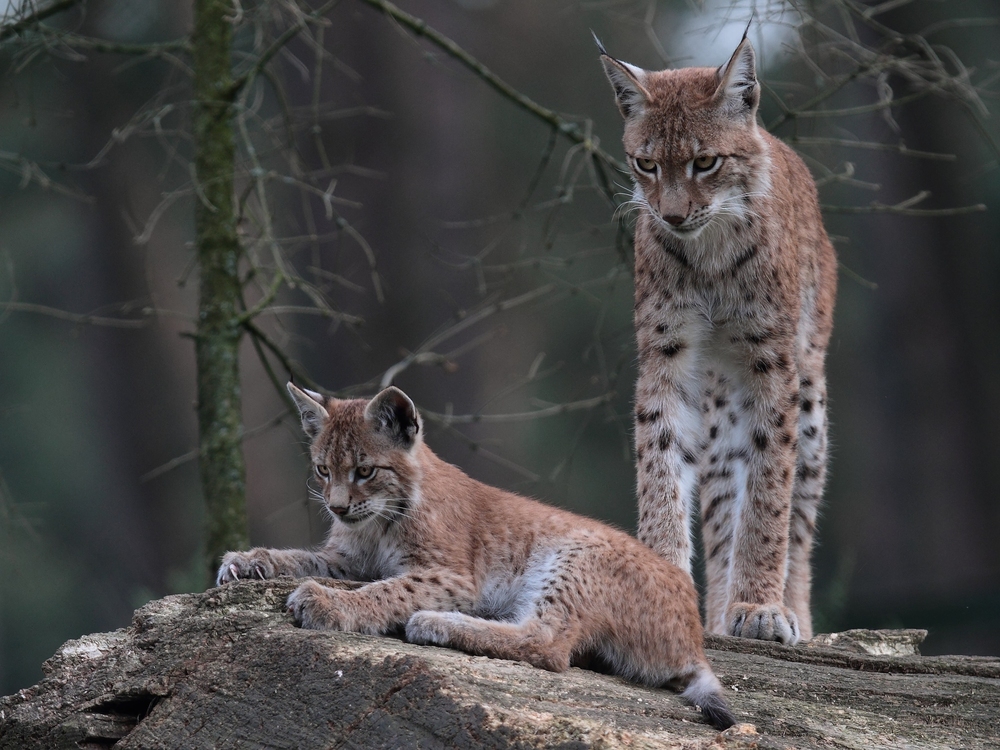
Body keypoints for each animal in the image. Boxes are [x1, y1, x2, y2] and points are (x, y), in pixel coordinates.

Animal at [217, 384, 736, 732]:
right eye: (323, 470)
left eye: (365, 471)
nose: (337, 508)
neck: (380, 519)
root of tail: (694, 633)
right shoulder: (346, 557)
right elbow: (301, 557)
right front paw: (246, 560)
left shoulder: (450, 576)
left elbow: (386, 590)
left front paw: (327, 602)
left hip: (574, 554)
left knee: (547, 645)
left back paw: (437, 622)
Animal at [596, 33, 840, 648]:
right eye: (646, 164)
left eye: (705, 162)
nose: (672, 216)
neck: (708, 249)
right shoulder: (667, 354)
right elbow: (659, 463)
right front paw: (660, 585)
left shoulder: (772, 364)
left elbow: (771, 491)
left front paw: (760, 606)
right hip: (719, 403)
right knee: (721, 494)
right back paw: (717, 612)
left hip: (809, 390)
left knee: (799, 512)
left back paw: (789, 611)